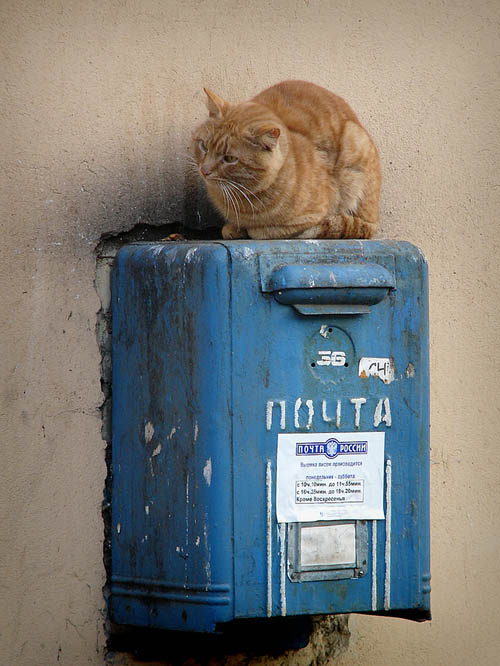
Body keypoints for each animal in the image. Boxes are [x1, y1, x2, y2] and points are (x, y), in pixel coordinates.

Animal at [191, 80, 378, 240]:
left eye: (229, 158)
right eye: (204, 147)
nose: (204, 170)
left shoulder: (310, 216)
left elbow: (268, 231)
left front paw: (248, 230)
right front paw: (233, 228)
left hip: (354, 144)